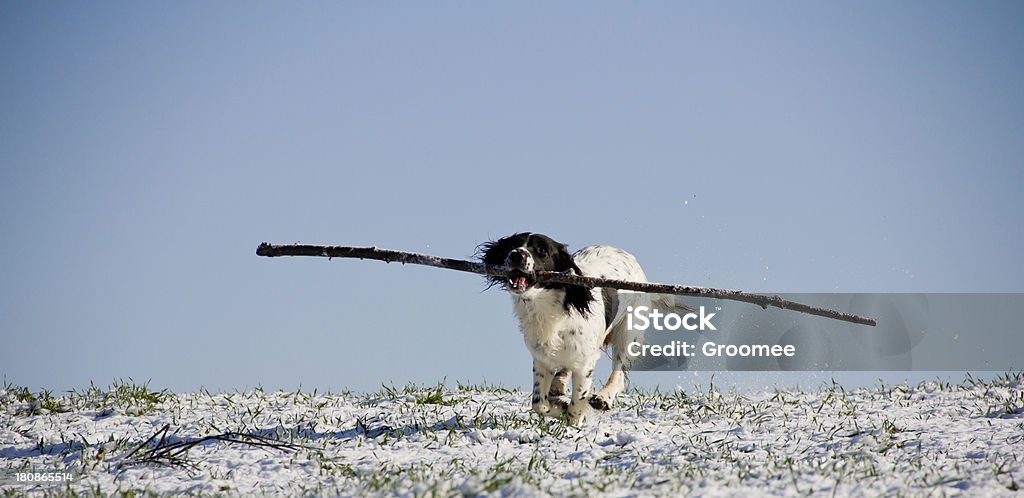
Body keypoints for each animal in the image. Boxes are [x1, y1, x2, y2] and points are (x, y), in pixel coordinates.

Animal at [479, 232, 679, 424]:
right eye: (513, 244)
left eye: (542, 250)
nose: (516, 255)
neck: (548, 308)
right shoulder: (541, 359)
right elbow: (539, 403)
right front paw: (559, 406)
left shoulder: (585, 364)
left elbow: (577, 403)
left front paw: (573, 421)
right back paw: (558, 385)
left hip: (628, 332)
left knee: (620, 372)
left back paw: (603, 398)